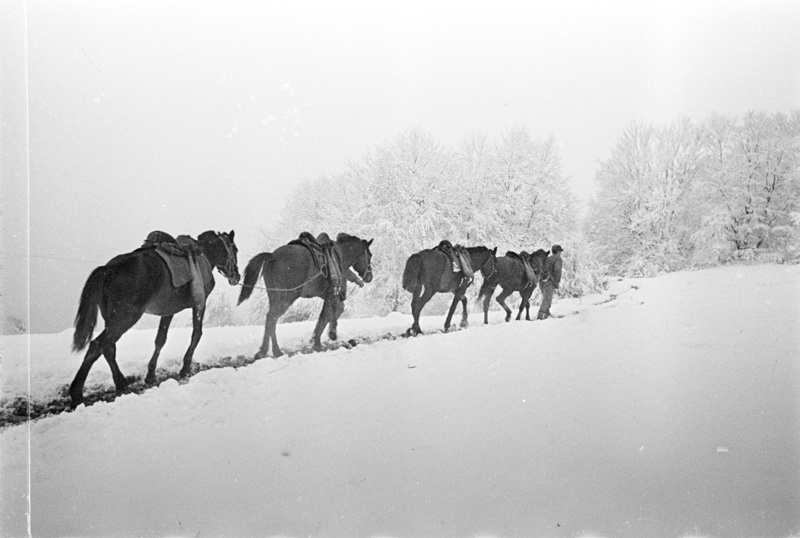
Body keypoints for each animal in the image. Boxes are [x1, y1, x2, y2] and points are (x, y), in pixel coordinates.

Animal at [70, 228, 239, 404]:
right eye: (235, 250)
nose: (237, 276)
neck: (204, 254)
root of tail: (108, 268)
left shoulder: (168, 311)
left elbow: (160, 339)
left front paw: (151, 375)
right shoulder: (200, 304)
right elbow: (196, 334)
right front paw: (185, 369)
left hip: (111, 318)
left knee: (108, 347)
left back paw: (121, 382)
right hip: (125, 318)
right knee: (98, 345)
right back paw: (77, 392)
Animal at [238, 230, 376, 356]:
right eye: (369, 255)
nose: (369, 277)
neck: (339, 257)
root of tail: (271, 256)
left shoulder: (331, 296)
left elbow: (335, 311)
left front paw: (325, 335)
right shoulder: (331, 295)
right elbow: (324, 315)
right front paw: (318, 342)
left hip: (274, 297)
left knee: (270, 319)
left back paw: (269, 350)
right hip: (286, 298)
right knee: (272, 318)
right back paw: (272, 351)